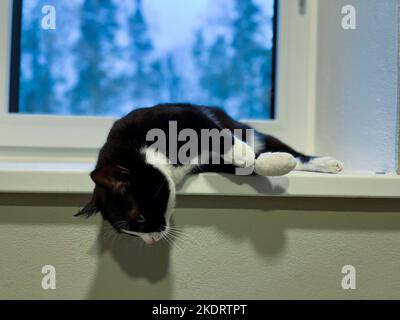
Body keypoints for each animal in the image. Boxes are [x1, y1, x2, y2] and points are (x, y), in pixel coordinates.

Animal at [76, 104, 344, 244]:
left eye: (139, 218)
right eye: (127, 232)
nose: (150, 241)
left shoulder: (184, 115)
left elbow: (216, 133)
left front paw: (244, 153)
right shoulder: (210, 162)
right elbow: (248, 166)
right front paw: (271, 162)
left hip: (251, 131)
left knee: (291, 151)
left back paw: (327, 163)